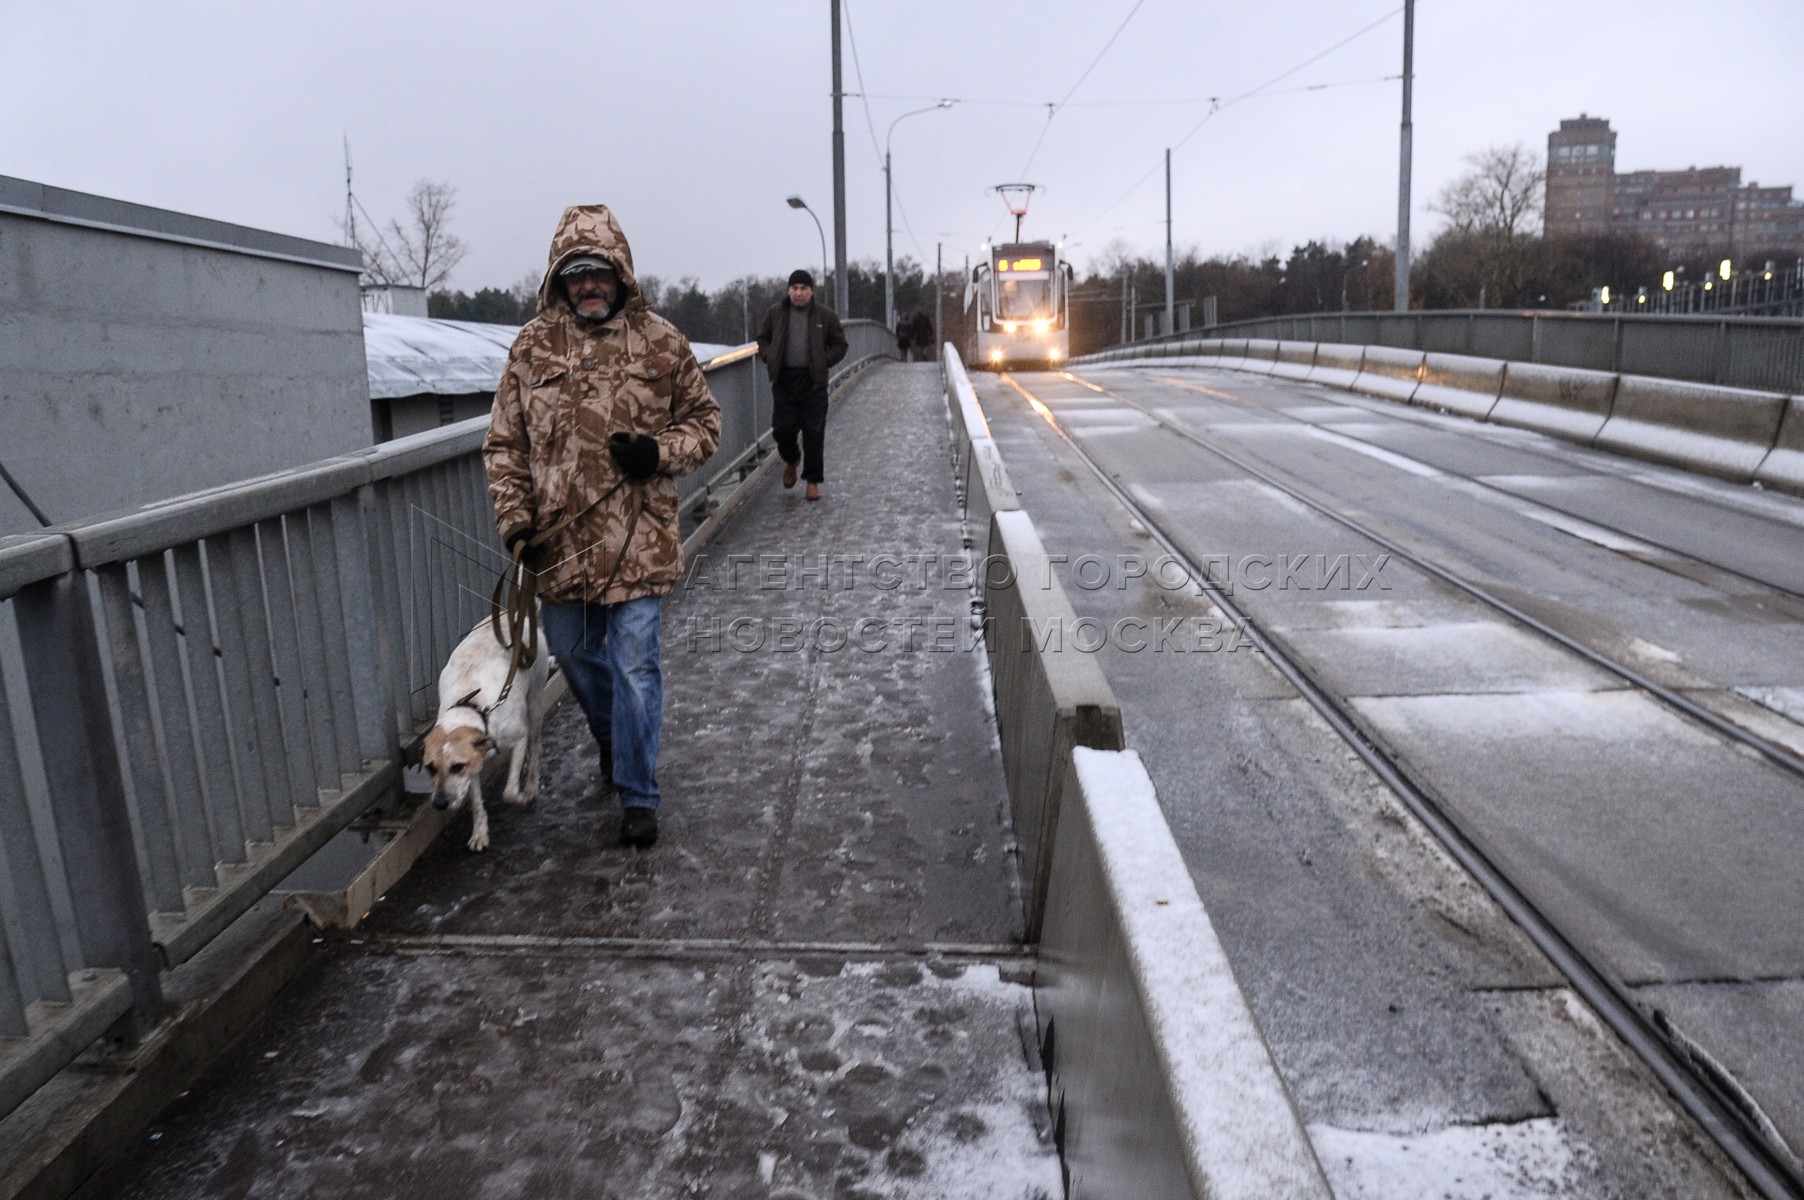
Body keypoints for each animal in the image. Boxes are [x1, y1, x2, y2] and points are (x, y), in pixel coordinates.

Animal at [422, 620, 548, 848]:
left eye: (456, 767)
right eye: (430, 768)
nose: (440, 804)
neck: (471, 705)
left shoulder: (518, 738)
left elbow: (509, 793)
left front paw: (523, 797)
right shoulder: (472, 767)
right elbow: (476, 802)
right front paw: (480, 832)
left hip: (535, 703)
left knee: (536, 748)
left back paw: (531, 786)